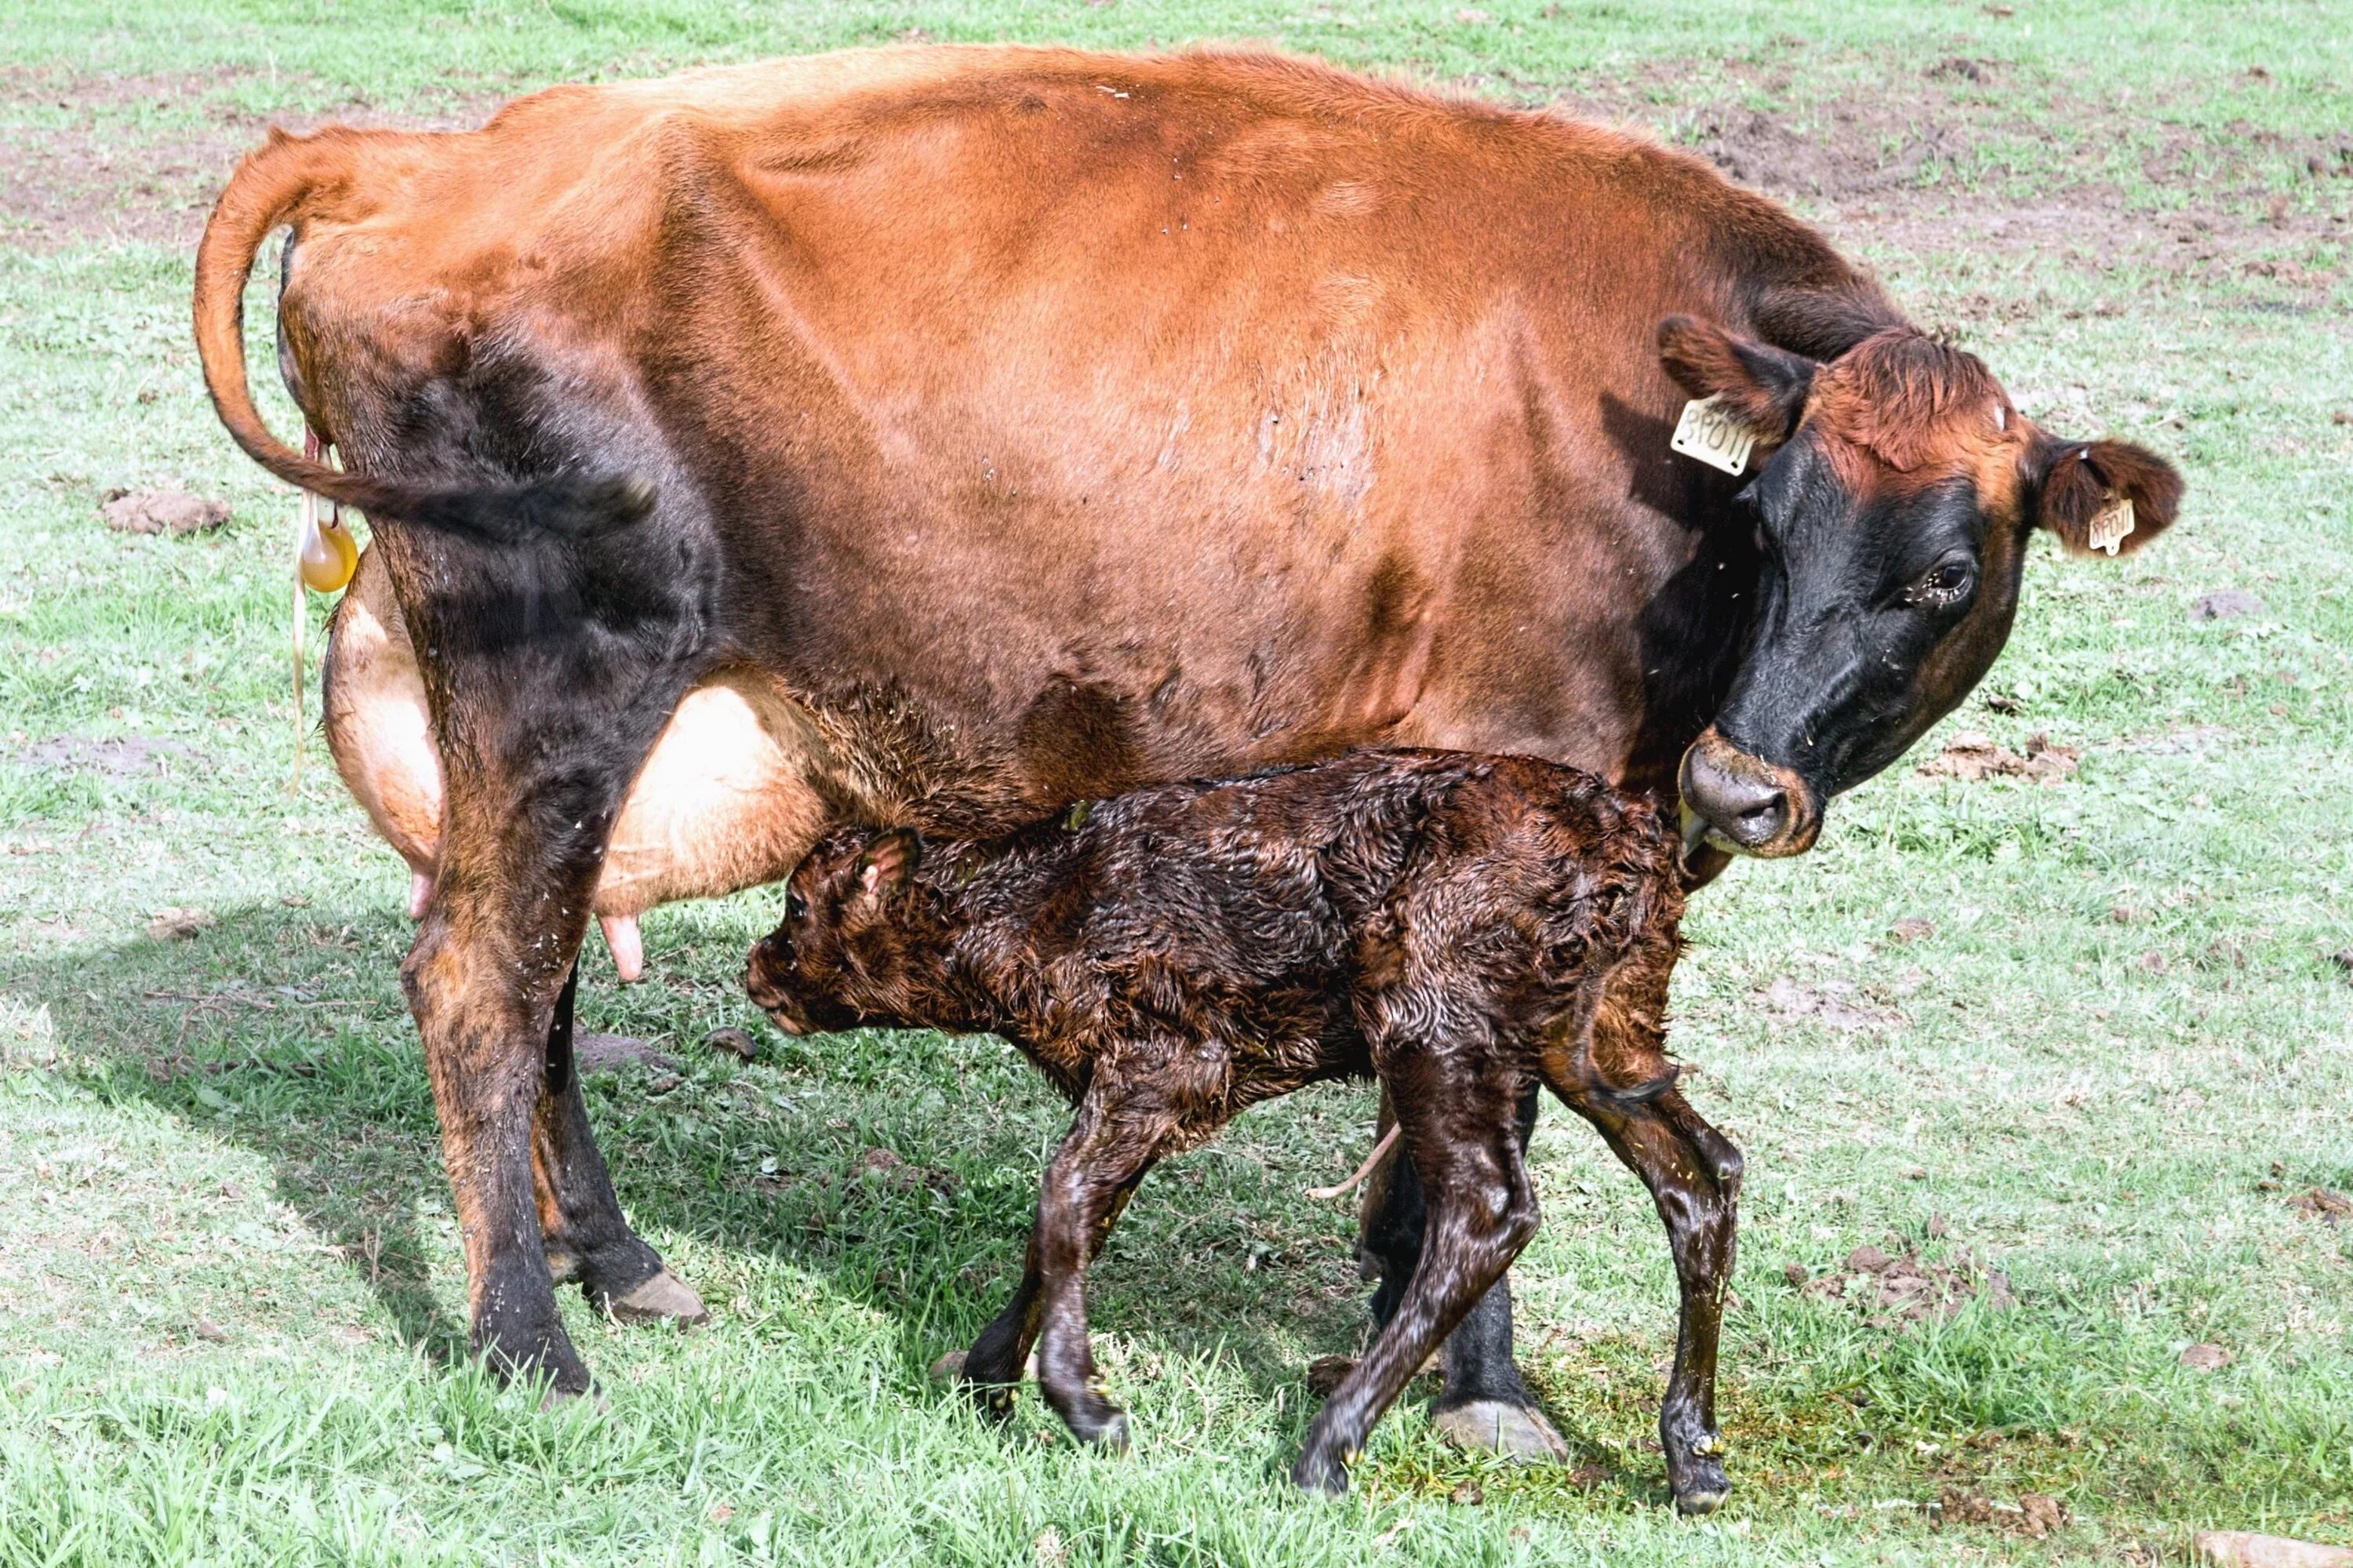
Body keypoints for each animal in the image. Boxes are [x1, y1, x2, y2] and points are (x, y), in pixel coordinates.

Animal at [193, 49, 2174, 1412]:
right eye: (1765, 522)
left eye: (1942, 571)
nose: (1738, 786)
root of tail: (446, 149)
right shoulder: (1510, 771)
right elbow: (1495, 1138)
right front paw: (1484, 1388)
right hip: (554, 665)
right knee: (482, 978)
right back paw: (528, 1339)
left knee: (534, 978)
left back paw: (620, 1264)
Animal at [744, 744, 1741, 1506]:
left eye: (796, 903)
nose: (756, 968)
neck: (1030, 915)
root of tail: (1633, 843)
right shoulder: (1130, 1087)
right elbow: (1071, 1219)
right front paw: (988, 1378)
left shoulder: (1166, 1059)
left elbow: (1061, 1200)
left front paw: (1083, 1406)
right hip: (1609, 1033)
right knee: (1703, 1173)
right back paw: (1694, 1461)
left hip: (1437, 1017)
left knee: (1490, 1208)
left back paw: (1324, 1450)